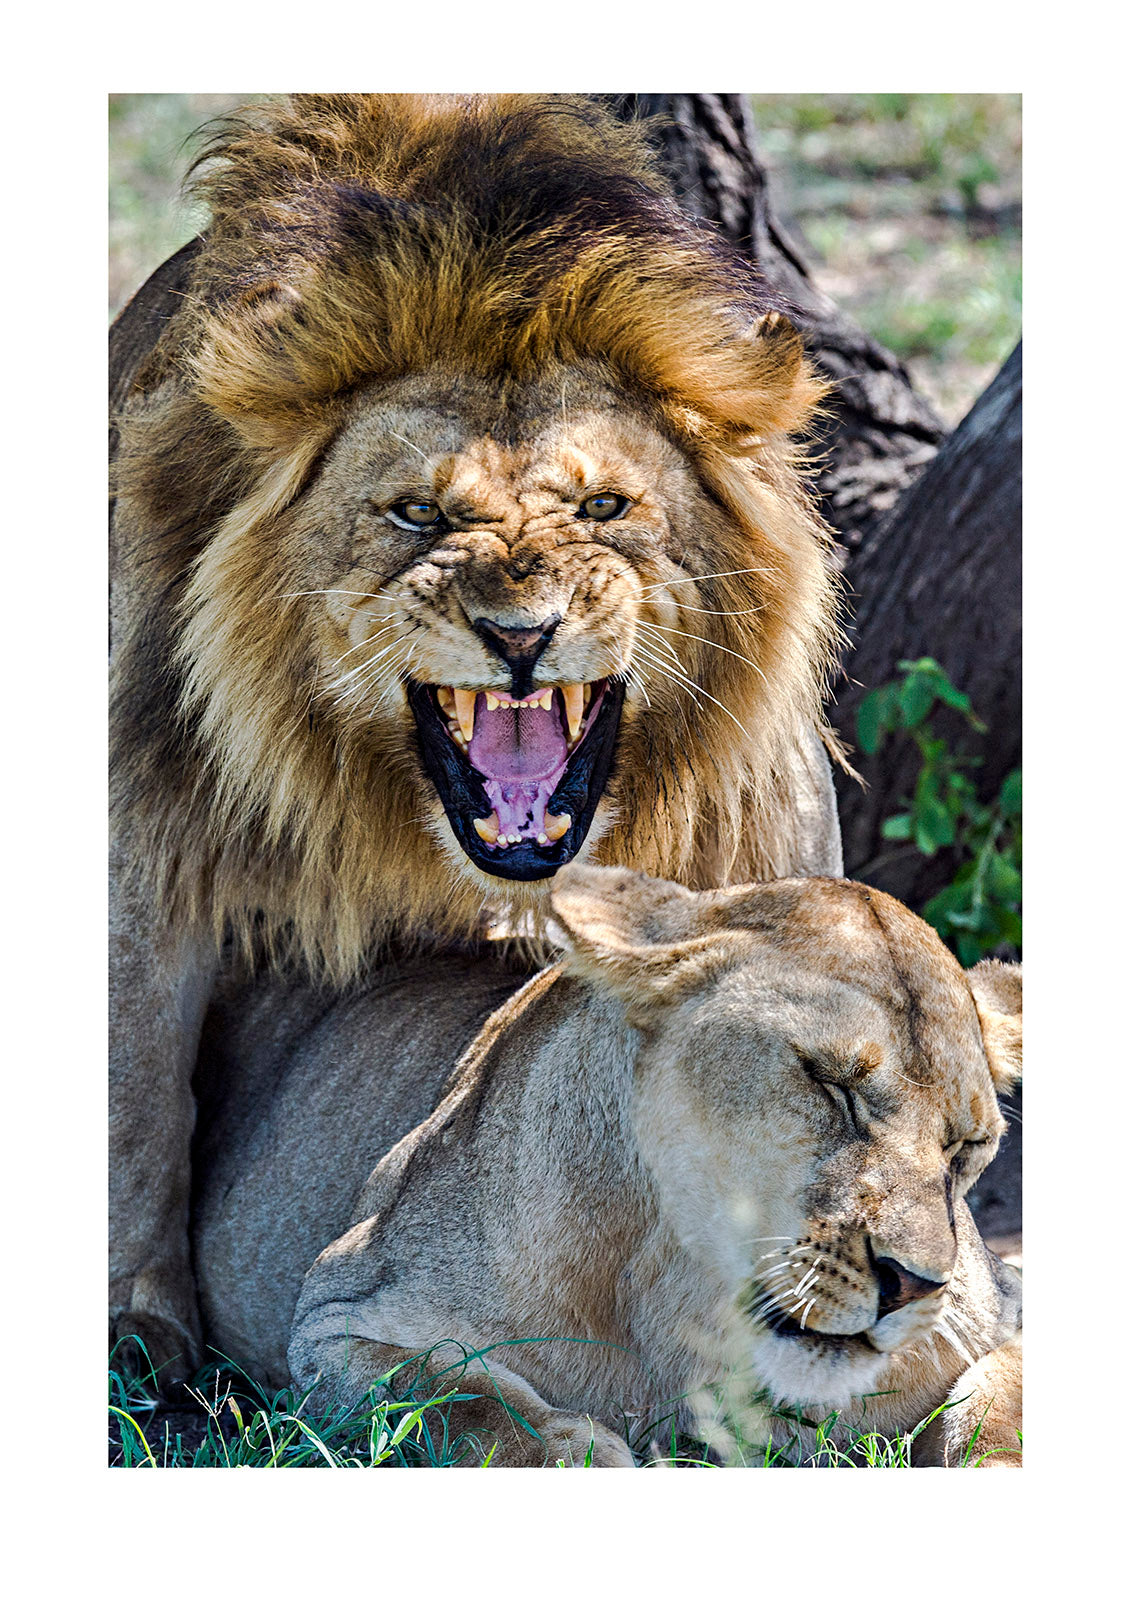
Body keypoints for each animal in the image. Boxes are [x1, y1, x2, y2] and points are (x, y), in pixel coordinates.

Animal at [110, 94, 845, 1375]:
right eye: (418, 512)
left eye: (603, 506)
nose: (519, 631)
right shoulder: (139, 818)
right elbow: (132, 1091)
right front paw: (134, 1337)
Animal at [190, 868, 1022, 1467]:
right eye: (829, 1082)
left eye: (966, 1148)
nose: (913, 1285)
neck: (677, 1297)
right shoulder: (335, 1319)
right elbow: (468, 1401)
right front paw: (579, 1455)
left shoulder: (1003, 1316)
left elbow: (998, 1407)